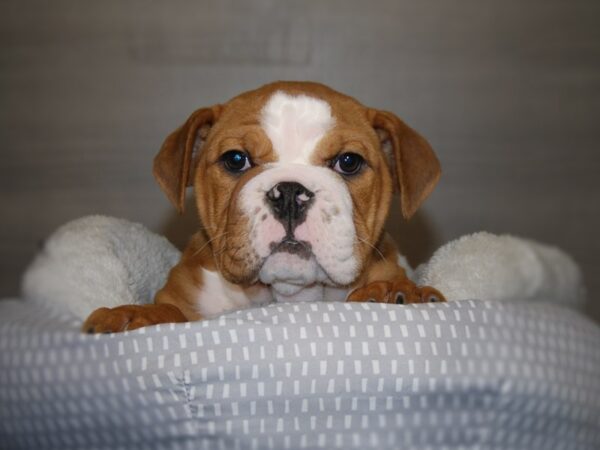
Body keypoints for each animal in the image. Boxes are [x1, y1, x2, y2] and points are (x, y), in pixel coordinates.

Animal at [82, 81, 442, 334]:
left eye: (349, 162)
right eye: (236, 159)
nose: (290, 193)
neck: (289, 294)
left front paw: (397, 292)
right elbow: (171, 313)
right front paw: (135, 315)